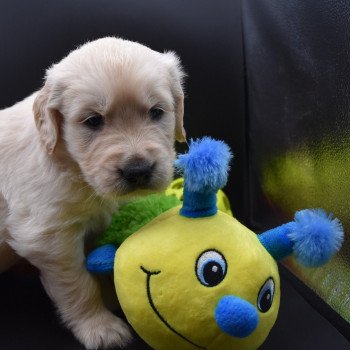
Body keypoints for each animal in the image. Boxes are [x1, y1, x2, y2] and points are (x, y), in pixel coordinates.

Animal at [0, 37, 186, 348]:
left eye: (156, 112)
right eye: (93, 121)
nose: (138, 170)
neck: (72, 165)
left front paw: (114, 294)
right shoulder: (49, 238)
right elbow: (79, 283)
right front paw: (99, 326)